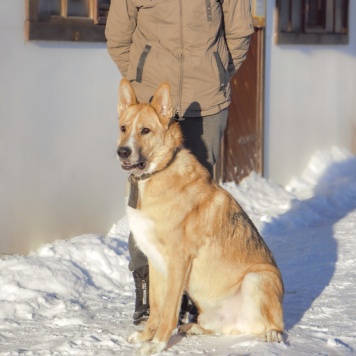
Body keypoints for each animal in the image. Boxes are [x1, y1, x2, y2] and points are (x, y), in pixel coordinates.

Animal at [116, 79, 284, 354]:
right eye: (123, 128)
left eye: (145, 131)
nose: (123, 151)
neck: (158, 172)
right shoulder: (155, 261)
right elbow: (156, 308)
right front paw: (145, 336)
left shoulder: (177, 261)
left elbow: (168, 310)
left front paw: (157, 344)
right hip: (212, 310)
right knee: (225, 327)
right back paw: (193, 328)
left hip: (257, 278)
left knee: (274, 323)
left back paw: (272, 334)